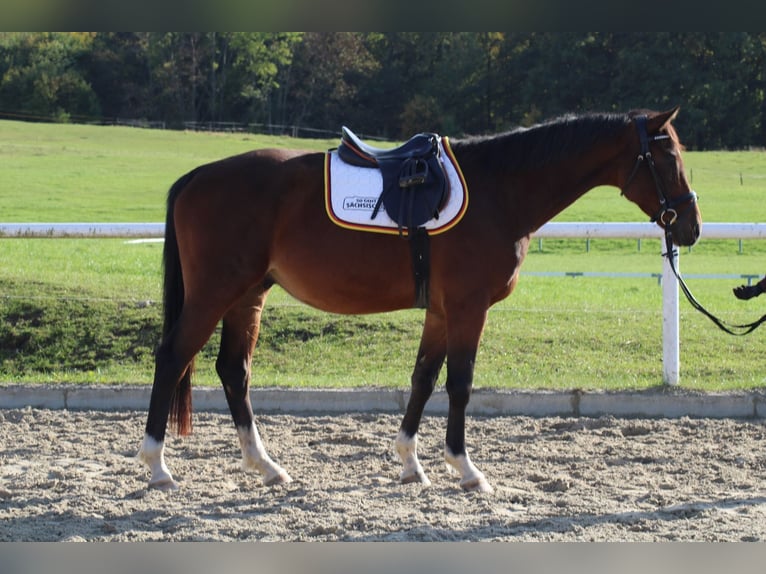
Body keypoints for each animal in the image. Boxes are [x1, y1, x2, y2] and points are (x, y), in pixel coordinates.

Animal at [138, 107, 701, 493]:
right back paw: (157, 466)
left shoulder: (440, 310)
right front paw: (466, 468)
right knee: (172, 357)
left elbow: (423, 378)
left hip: (247, 296)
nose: (691, 227)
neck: (499, 190)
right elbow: (460, 385)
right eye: (668, 156)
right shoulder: (469, 308)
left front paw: (411, 462)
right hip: (215, 293)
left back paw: (266, 465)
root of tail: (198, 177)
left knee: (234, 371)